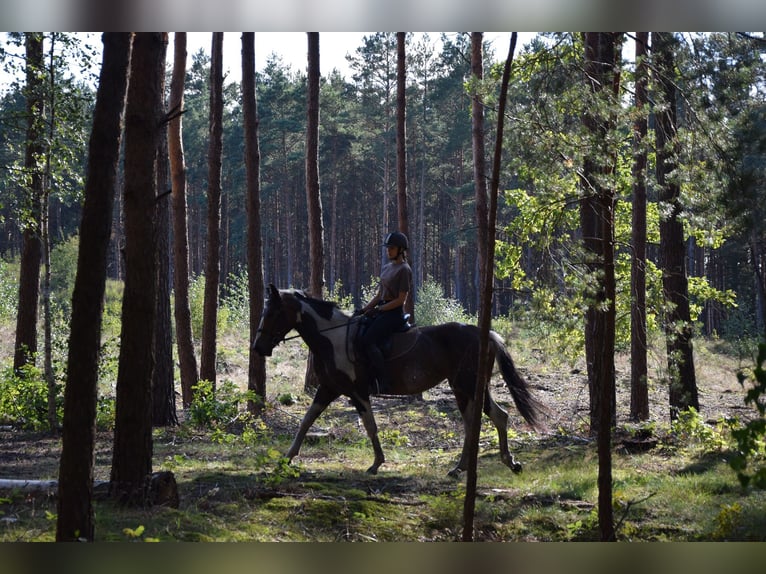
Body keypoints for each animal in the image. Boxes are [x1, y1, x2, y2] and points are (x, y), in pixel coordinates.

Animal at [253, 284, 545, 476]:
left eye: (273, 313)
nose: (258, 347)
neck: (332, 339)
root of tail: (486, 335)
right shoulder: (329, 388)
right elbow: (306, 420)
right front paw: (287, 457)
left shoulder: (357, 392)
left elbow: (370, 426)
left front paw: (376, 463)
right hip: (468, 387)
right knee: (491, 418)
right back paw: (486, 464)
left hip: (465, 385)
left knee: (485, 419)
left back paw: (481, 465)